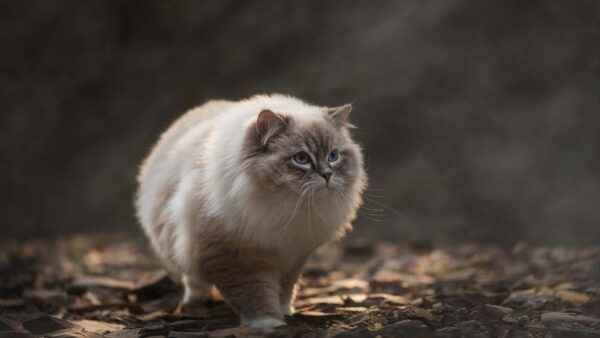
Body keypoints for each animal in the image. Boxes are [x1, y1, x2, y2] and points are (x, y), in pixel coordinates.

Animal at [135, 93, 366, 328]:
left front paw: (285, 312)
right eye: (301, 158)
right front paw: (269, 323)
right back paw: (195, 303)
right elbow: (254, 294)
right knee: (193, 279)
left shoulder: (294, 254)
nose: (327, 175)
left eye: (333, 156)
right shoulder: (235, 256)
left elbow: (285, 290)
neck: (288, 208)